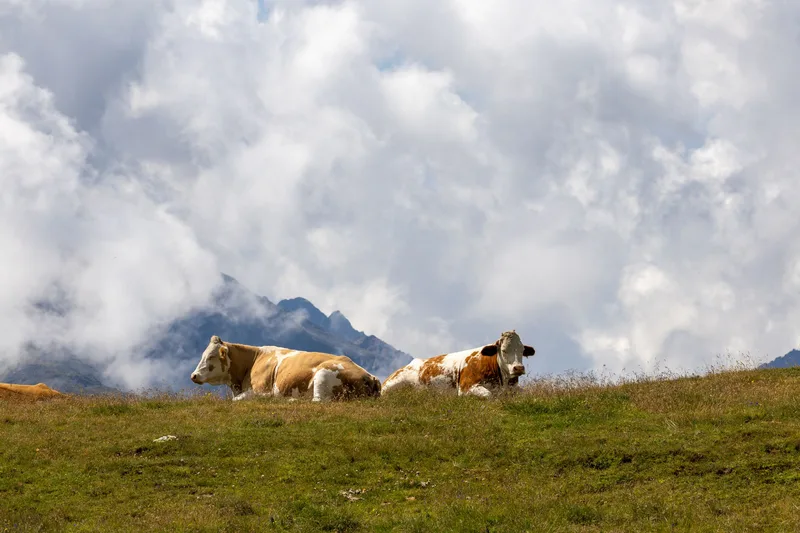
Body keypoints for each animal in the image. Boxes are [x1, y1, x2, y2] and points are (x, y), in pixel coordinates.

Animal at [190, 335, 382, 401]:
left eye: (211, 357)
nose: (194, 375)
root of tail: (370, 376)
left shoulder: (262, 390)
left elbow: (237, 400)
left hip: (324, 374)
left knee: (318, 401)